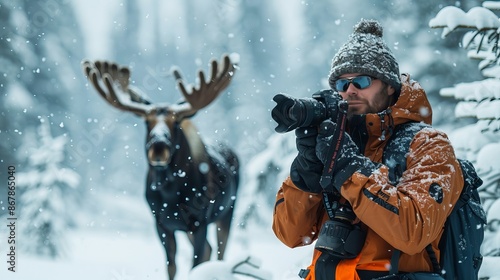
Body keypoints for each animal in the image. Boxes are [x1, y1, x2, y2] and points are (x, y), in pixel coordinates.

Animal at [82, 55, 240, 280]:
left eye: (177, 122)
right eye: (147, 122)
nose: (158, 146)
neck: (170, 194)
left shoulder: (200, 220)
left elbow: (195, 264)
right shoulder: (161, 224)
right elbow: (171, 266)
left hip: (227, 211)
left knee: (220, 251)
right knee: (210, 250)